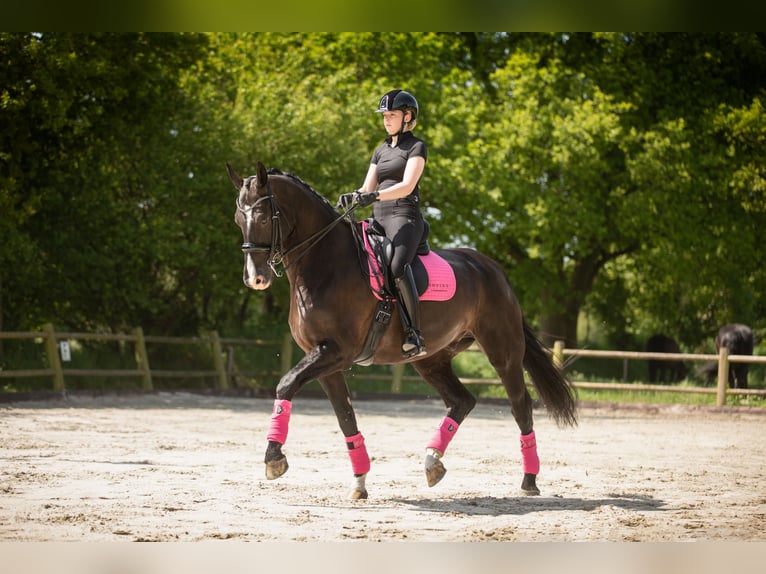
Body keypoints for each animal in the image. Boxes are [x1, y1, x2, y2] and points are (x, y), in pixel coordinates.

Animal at [227, 161, 577, 500]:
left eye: (261, 216)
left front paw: (274, 458)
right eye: (237, 218)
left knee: (521, 406)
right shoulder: (324, 360)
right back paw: (433, 462)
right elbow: (345, 417)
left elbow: (285, 384)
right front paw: (359, 481)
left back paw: (529, 480)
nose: (254, 278)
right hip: (431, 358)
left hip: (502, 352)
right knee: (462, 400)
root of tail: (493, 269)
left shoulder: (337, 352)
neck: (326, 265)